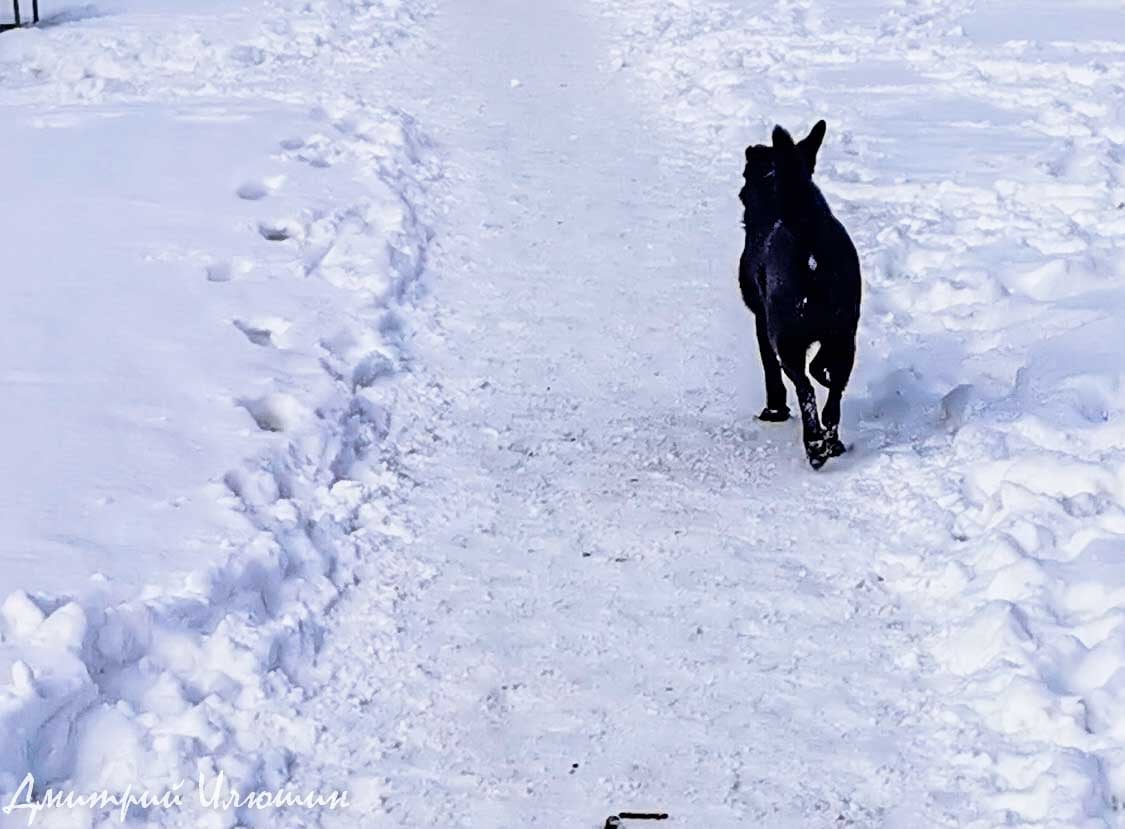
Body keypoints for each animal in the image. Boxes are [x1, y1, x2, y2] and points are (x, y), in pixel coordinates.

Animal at [738, 123, 859, 472]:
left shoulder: (761, 321)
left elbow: (770, 370)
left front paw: (774, 411)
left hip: (787, 337)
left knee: (805, 389)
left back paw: (815, 447)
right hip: (844, 335)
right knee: (833, 396)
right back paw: (832, 443)